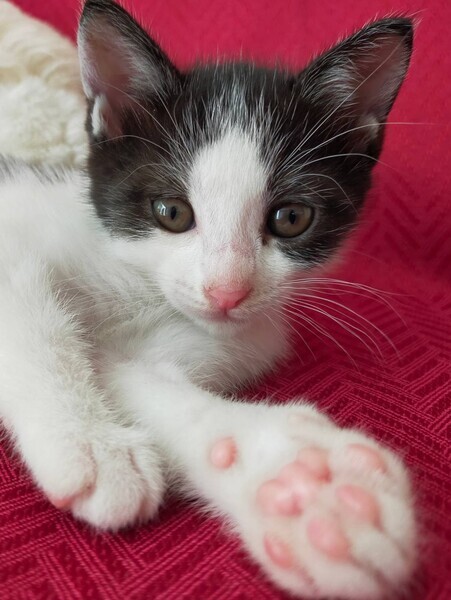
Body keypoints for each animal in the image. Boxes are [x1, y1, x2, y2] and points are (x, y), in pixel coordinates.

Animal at [0, 0, 416, 597]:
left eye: (292, 218)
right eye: (171, 212)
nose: (226, 290)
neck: (139, 285)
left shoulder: (227, 341)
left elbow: (132, 377)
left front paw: (301, 481)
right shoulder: (14, 226)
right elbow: (35, 320)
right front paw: (90, 446)